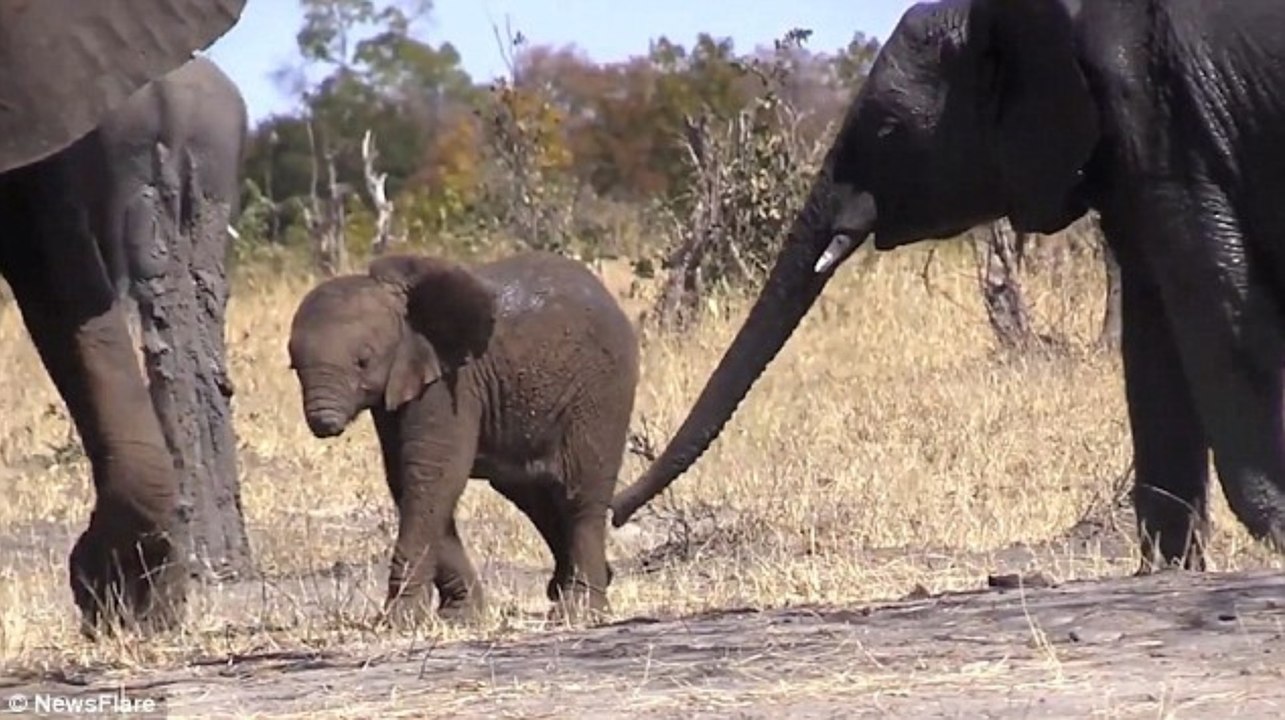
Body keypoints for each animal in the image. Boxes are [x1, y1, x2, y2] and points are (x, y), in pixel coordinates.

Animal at [287, 251, 640, 623]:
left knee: (580, 492)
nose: (325, 423)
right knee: (535, 494)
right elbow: (406, 480)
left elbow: (433, 474)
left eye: (362, 362)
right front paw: (460, 616)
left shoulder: (452, 384)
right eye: (294, 367)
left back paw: (579, 610)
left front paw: (399, 620)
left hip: (602, 388)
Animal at [610, 0, 1285, 573]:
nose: (612, 514)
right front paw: (1165, 572)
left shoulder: (1161, 116)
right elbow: (1154, 335)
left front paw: (1274, 529)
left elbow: (1217, 309)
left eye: (887, 131)